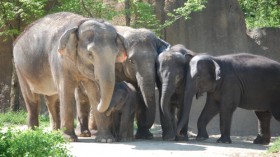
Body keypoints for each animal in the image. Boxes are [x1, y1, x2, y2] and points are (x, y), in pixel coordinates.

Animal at [13, 12, 126, 142]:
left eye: (116, 54)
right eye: (90, 54)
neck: (79, 22)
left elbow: (94, 90)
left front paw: (106, 140)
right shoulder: (59, 59)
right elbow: (66, 90)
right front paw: (69, 139)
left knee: (52, 99)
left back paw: (55, 133)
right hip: (20, 69)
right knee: (31, 98)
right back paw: (33, 133)